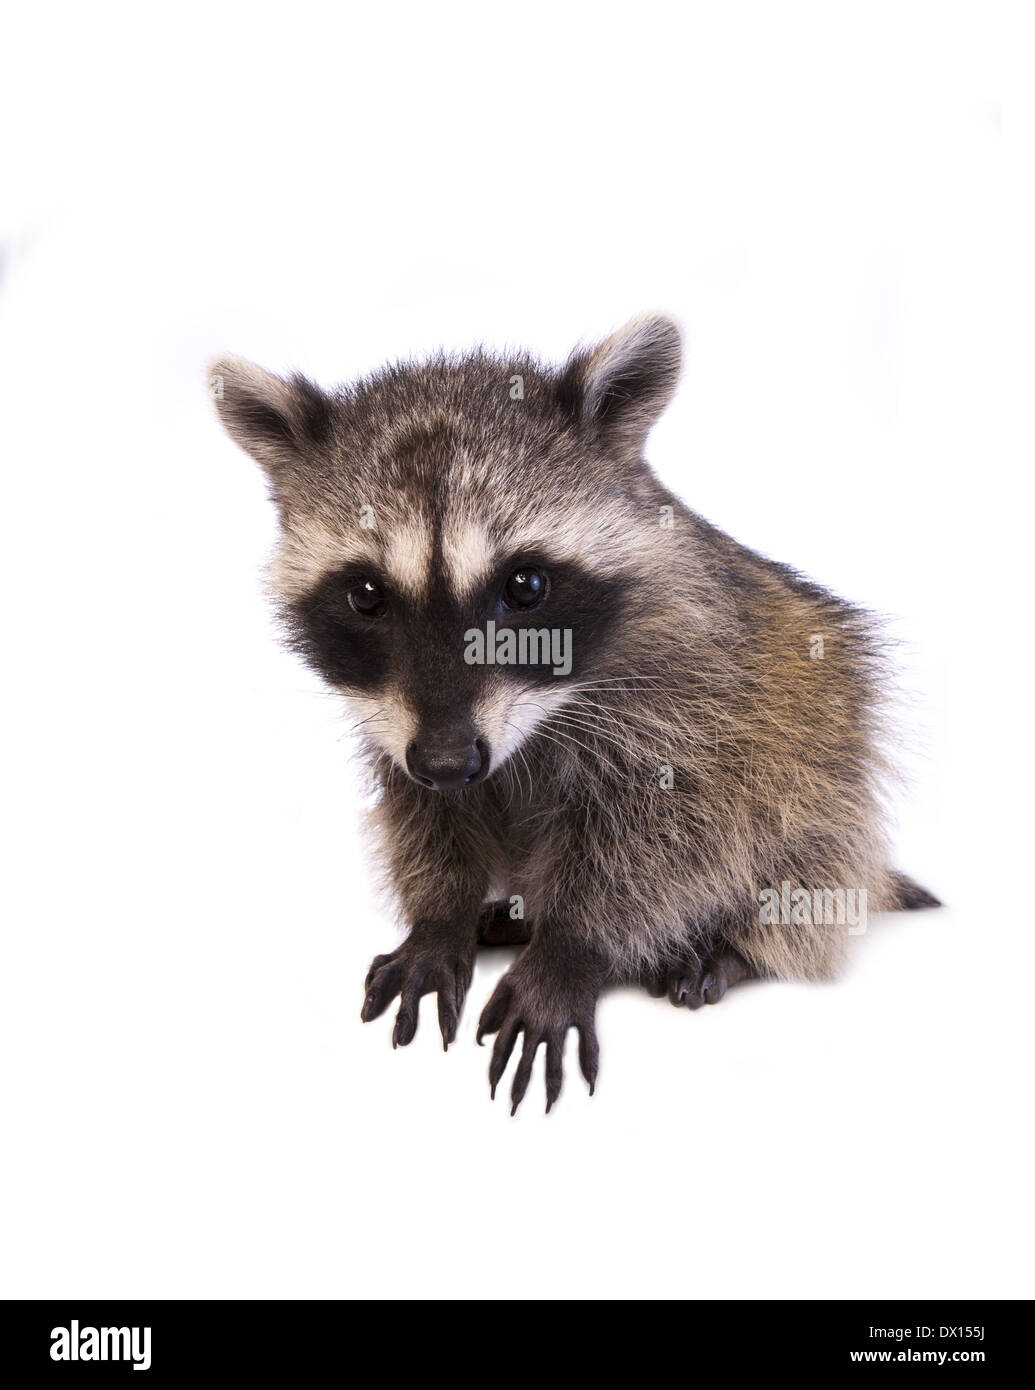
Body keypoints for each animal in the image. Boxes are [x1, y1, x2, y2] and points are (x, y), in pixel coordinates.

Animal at [209, 318, 939, 1117]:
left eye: (525, 586)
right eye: (366, 595)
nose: (449, 764)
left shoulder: (689, 691)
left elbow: (669, 831)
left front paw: (570, 948)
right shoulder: (396, 722)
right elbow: (422, 815)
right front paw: (440, 914)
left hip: (830, 758)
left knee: (806, 855)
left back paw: (736, 945)